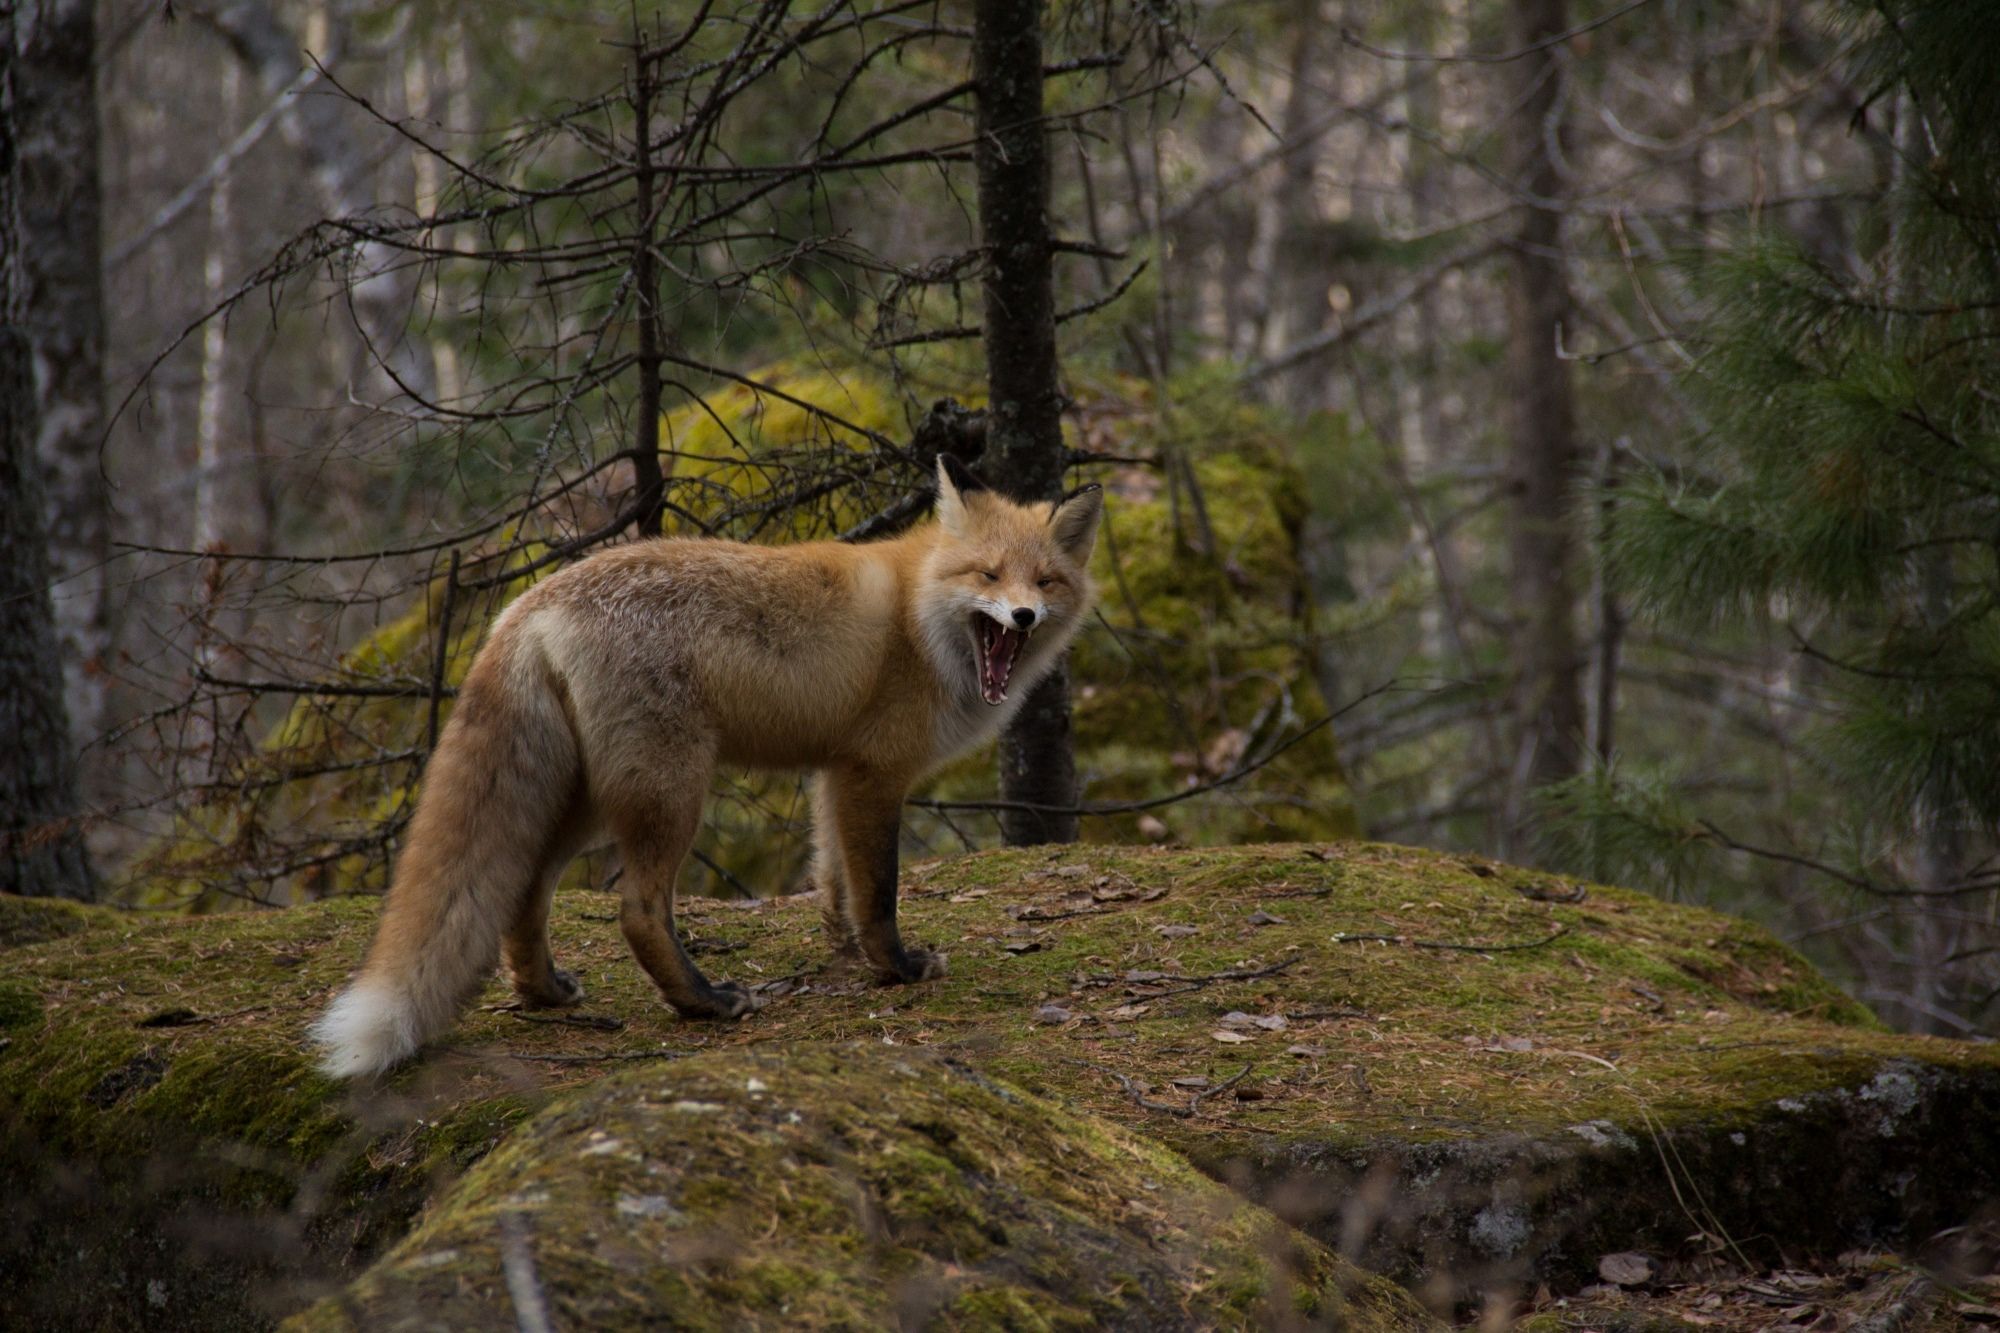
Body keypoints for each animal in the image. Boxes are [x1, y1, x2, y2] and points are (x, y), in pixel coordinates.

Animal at [312, 454, 1104, 1072]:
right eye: (989, 575)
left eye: (1045, 582)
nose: (1023, 617)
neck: (921, 617)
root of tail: (530, 601)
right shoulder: (874, 773)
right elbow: (878, 890)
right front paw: (897, 968)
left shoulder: (834, 772)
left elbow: (834, 882)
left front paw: (845, 954)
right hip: (670, 790)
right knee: (637, 910)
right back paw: (702, 1000)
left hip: (588, 798)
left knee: (526, 887)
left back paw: (544, 992)